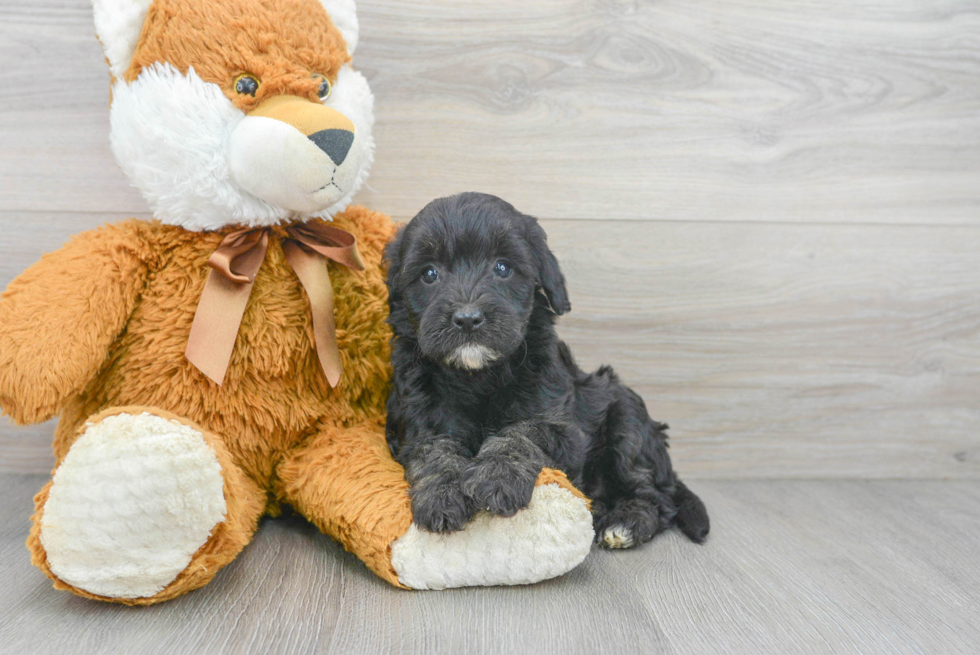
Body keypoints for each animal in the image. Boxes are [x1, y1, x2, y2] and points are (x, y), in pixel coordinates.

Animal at [382, 191, 712, 548]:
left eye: (502, 268)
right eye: (429, 274)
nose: (468, 318)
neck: (478, 375)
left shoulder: (558, 423)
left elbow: (522, 433)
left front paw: (498, 477)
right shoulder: (417, 423)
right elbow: (434, 450)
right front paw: (442, 494)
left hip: (627, 418)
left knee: (654, 493)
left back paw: (626, 522)